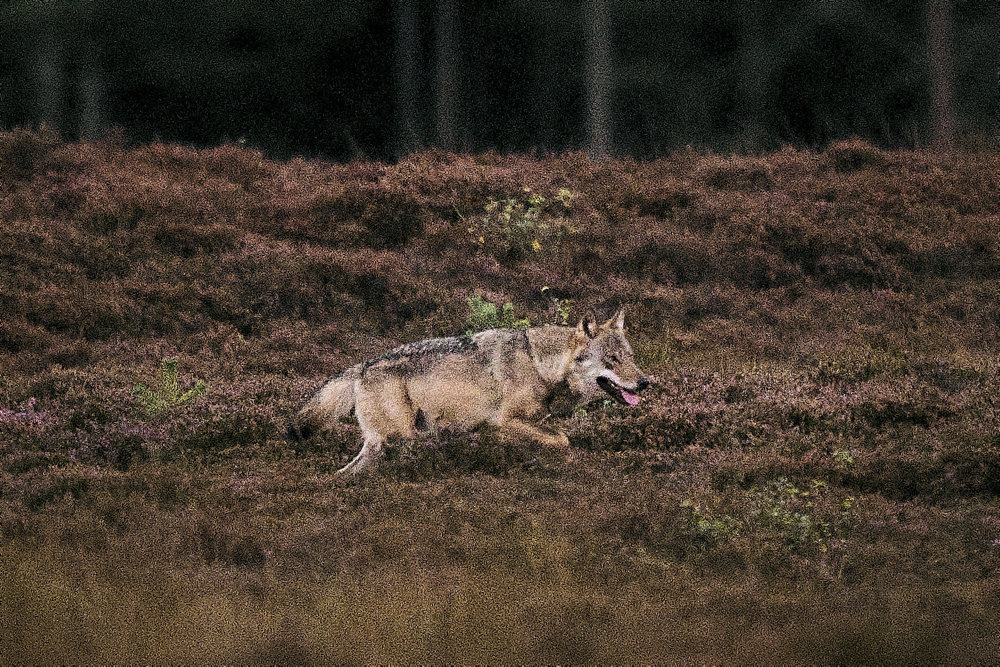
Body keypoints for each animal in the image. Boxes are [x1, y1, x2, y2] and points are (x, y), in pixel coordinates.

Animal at [288, 308, 650, 477]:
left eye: (630, 357)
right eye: (612, 360)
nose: (645, 382)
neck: (541, 364)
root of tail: (363, 365)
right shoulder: (503, 421)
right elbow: (562, 440)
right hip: (397, 439)